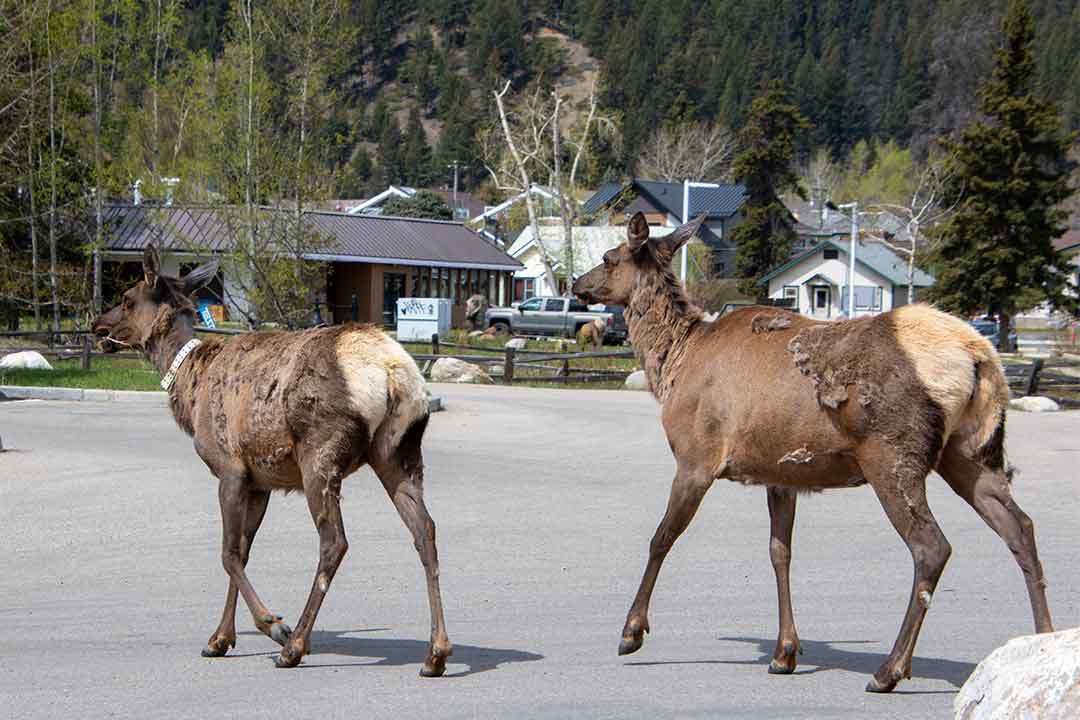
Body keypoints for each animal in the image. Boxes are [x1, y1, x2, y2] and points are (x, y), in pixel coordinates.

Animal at [92, 248, 452, 675]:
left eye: (127, 298)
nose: (97, 324)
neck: (188, 390)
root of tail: (393, 373)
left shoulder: (229, 468)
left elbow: (228, 553)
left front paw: (273, 625)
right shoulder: (260, 481)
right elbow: (244, 552)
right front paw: (219, 639)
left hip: (320, 454)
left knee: (334, 542)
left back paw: (294, 645)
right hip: (399, 453)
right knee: (426, 530)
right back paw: (436, 652)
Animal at [572, 212, 1053, 693]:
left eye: (608, 257)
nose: (577, 282)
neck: (673, 364)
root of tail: (979, 357)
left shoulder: (697, 456)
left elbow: (661, 538)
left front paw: (631, 632)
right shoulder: (779, 474)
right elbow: (779, 553)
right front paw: (785, 652)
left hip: (893, 455)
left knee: (932, 546)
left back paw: (890, 670)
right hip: (972, 453)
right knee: (1021, 528)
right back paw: (1041, 642)